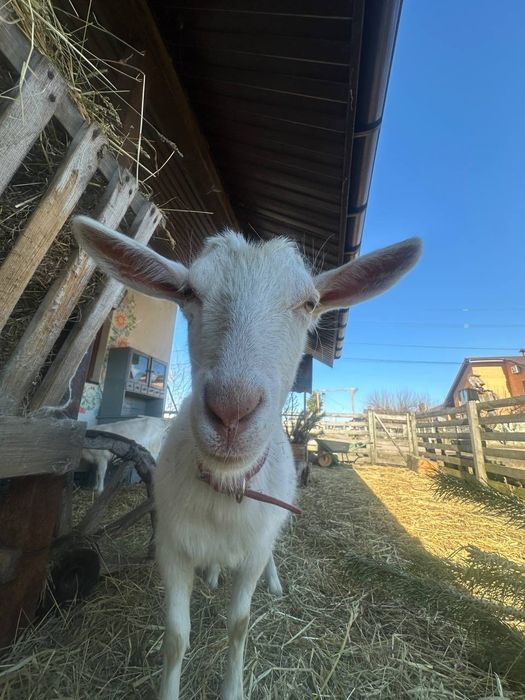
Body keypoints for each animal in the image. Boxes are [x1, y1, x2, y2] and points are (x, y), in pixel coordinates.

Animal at [73, 215, 421, 700]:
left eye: (310, 303)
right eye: (188, 292)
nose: (231, 411)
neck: (225, 488)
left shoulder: (254, 550)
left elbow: (238, 624)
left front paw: (233, 686)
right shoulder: (172, 549)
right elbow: (176, 637)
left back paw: (273, 585)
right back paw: (215, 573)